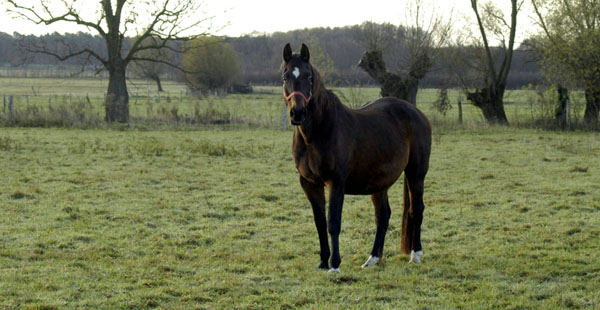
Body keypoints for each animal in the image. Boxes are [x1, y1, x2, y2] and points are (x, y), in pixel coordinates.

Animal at [282, 42, 432, 272]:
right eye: (285, 75)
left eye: (309, 76)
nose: (297, 113)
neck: (316, 134)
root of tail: (416, 113)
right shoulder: (309, 184)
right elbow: (319, 223)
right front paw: (323, 262)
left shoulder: (335, 182)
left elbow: (333, 223)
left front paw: (334, 265)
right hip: (380, 183)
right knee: (383, 216)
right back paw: (373, 259)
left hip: (416, 174)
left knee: (416, 210)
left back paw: (415, 254)